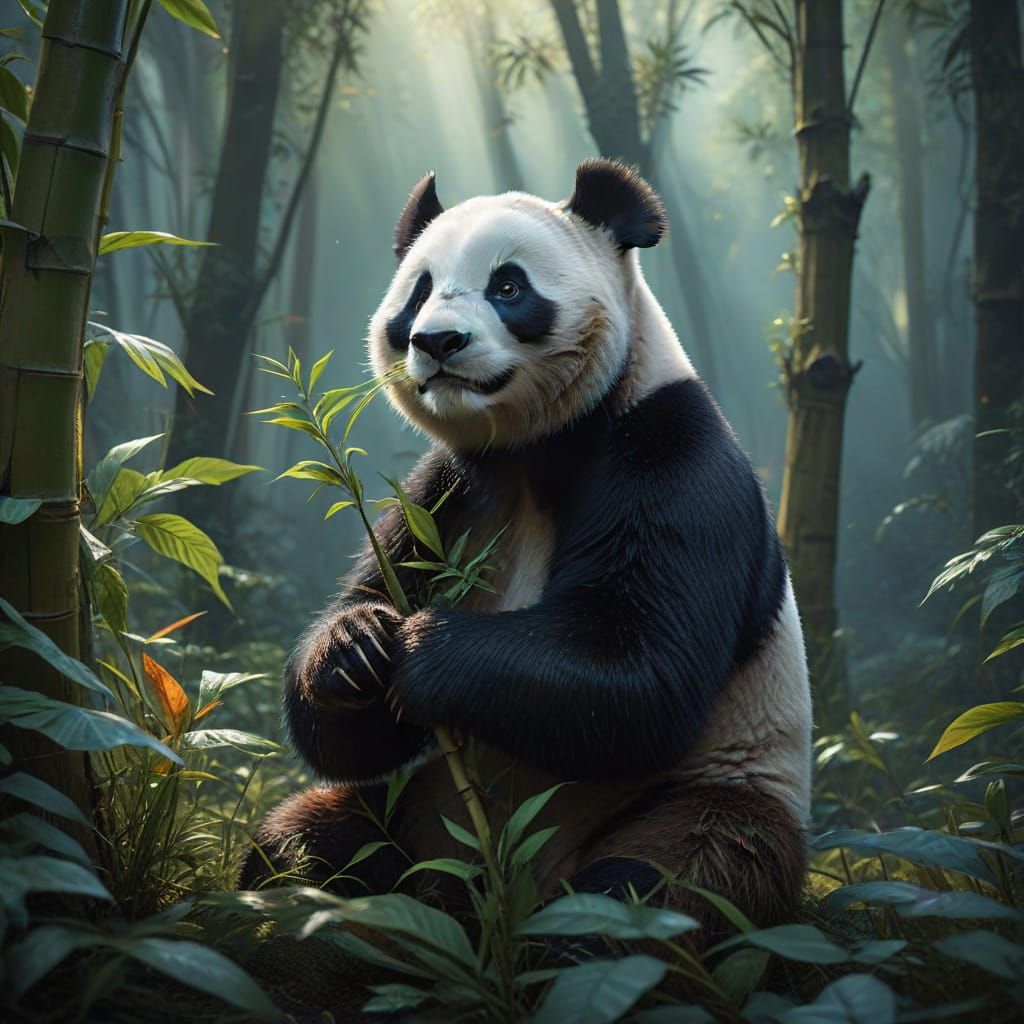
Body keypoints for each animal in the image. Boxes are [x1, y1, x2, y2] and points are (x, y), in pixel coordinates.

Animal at [242, 159, 812, 939]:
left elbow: (636, 672)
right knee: (305, 849)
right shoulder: (449, 493)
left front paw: (424, 652)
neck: (536, 450)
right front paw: (356, 647)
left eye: (508, 287)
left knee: (660, 888)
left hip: (718, 791)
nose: (436, 342)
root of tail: (493, 892)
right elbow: (350, 718)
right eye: (418, 290)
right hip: (416, 813)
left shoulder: (672, 455)